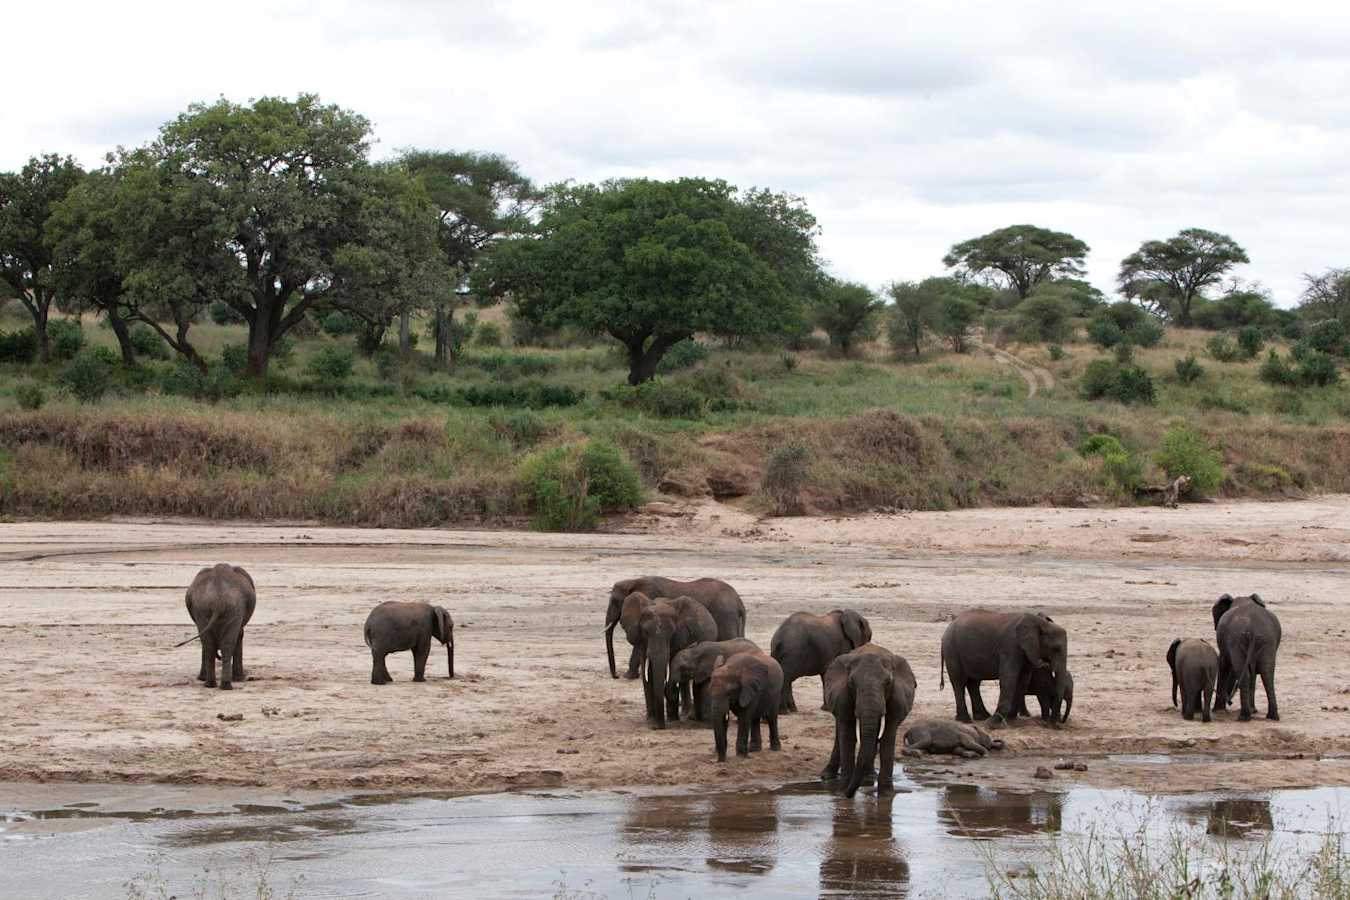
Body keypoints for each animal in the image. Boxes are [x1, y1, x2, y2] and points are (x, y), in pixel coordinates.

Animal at [605, 577, 746, 679]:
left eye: (615, 601)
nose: (616, 676)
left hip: (726, 616)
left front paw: (627, 676)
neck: (634, 581)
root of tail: (739, 601)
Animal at [620, 592, 719, 729]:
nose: (658, 727)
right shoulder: (641, 641)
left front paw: (670, 720)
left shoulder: (679, 637)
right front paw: (651, 721)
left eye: (672, 632)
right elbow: (648, 674)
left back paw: (689, 717)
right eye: (646, 631)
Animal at [819, 644, 916, 798]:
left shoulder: (897, 699)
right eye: (851, 683)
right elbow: (847, 735)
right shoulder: (843, 697)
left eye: (888, 683)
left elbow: (888, 737)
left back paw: (870, 776)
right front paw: (842, 793)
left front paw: (886, 795)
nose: (848, 794)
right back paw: (827, 776)